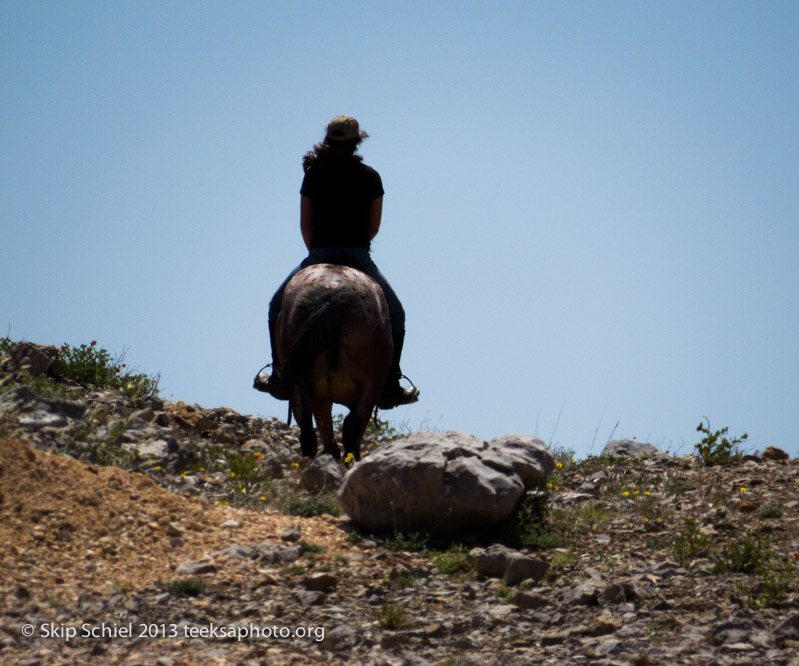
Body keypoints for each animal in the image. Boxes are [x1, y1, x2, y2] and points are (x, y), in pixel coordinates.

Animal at [276, 262, 396, 460]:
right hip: (370, 387)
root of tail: (331, 297)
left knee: (308, 433)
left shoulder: (319, 396)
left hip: (300, 385)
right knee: (351, 430)